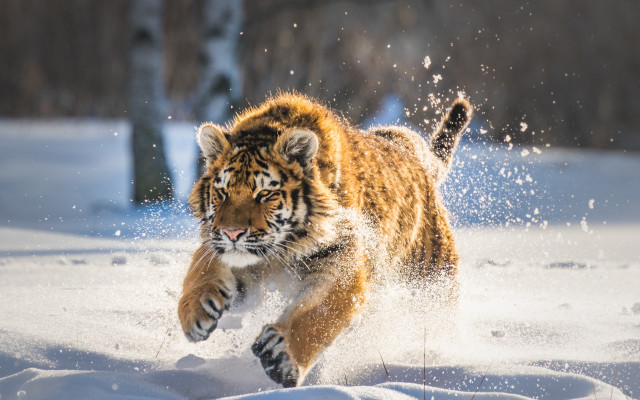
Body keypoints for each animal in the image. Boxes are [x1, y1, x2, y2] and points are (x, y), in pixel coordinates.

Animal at [177, 92, 472, 387]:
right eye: (222, 192)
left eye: (264, 193)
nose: (232, 233)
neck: (280, 250)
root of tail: (414, 152)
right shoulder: (228, 250)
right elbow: (201, 269)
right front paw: (195, 312)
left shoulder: (341, 265)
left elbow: (317, 315)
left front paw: (281, 356)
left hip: (432, 281)